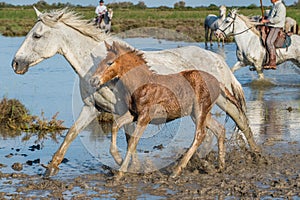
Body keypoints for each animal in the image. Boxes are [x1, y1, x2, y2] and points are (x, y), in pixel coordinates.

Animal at [90, 41, 243, 177]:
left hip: (200, 110)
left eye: (109, 63)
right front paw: (118, 159)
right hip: (200, 113)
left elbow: (133, 142)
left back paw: (176, 170)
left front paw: (121, 172)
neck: (141, 83)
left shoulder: (145, 117)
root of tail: (218, 82)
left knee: (200, 134)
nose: (93, 80)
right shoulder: (133, 114)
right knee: (219, 129)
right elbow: (116, 125)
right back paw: (221, 166)